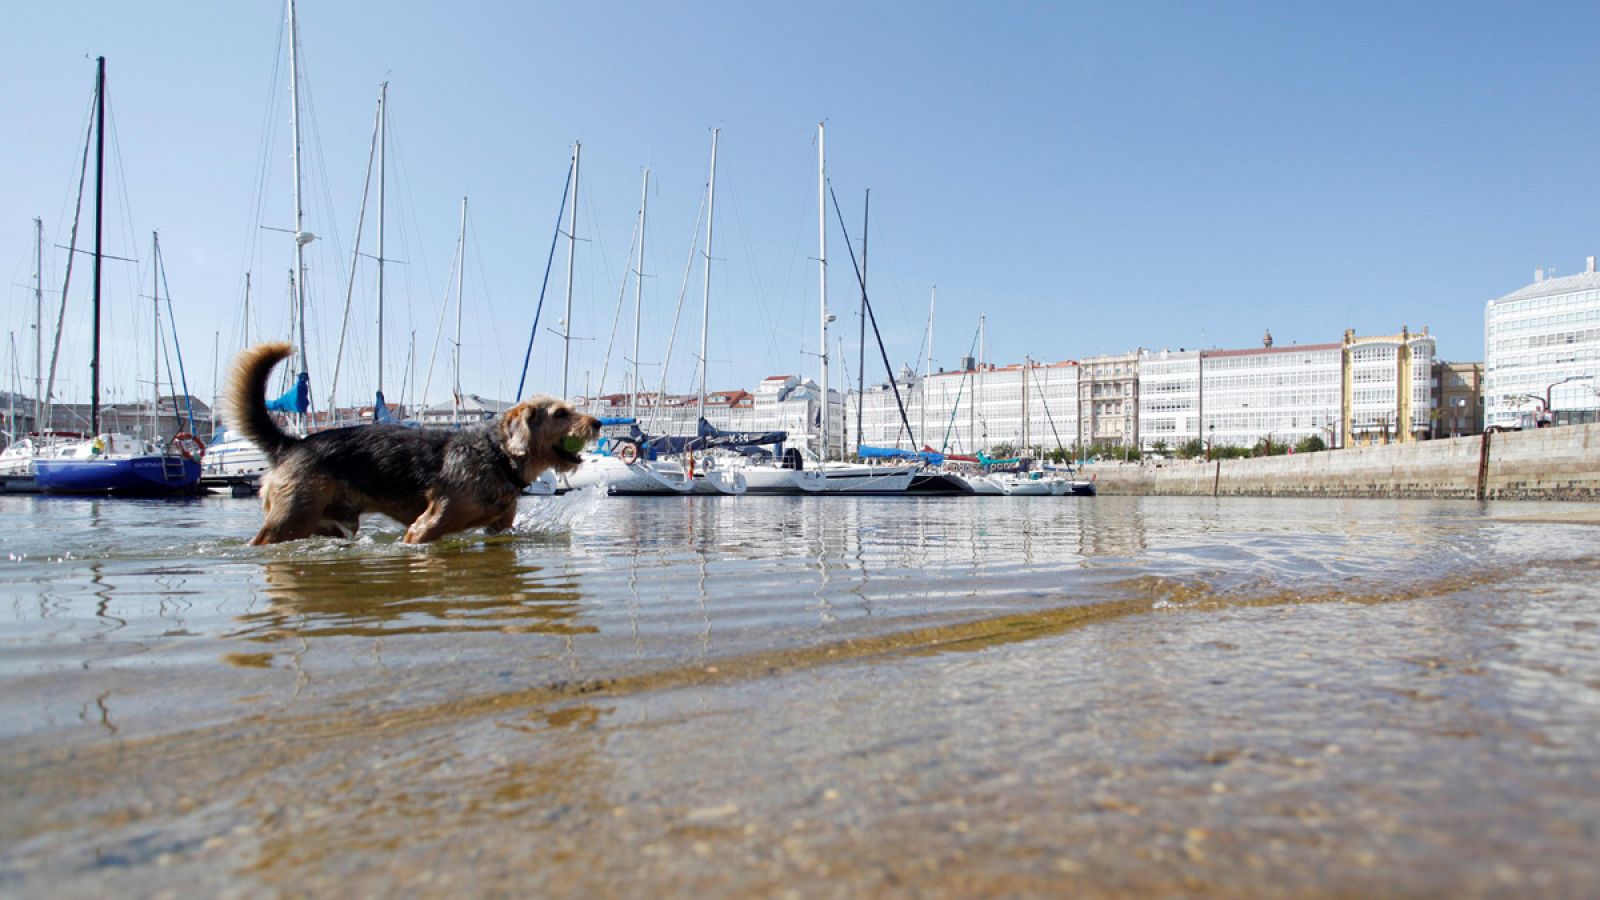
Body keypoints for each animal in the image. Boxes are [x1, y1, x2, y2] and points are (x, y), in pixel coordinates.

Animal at [225, 339, 601, 544]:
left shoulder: (499, 529)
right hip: (289, 519)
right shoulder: (424, 529)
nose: (598, 422)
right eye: (560, 413)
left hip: (327, 524)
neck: (496, 456)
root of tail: (291, 444)